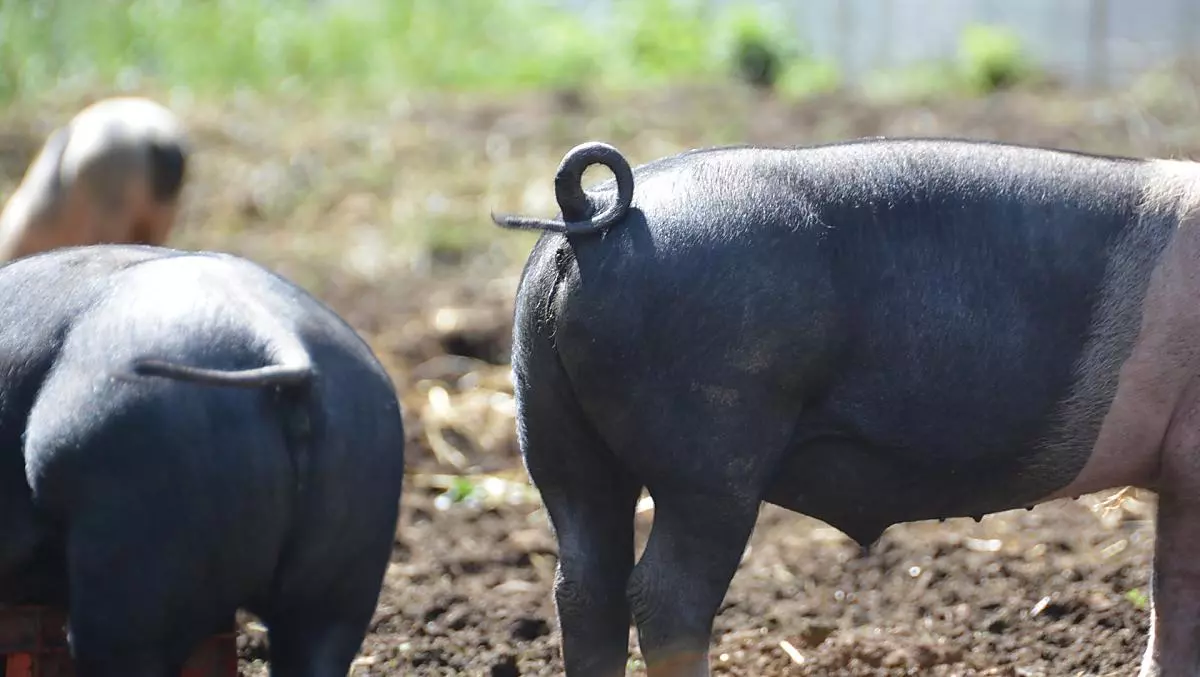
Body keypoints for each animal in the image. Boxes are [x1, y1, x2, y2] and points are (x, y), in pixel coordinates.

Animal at [491, 138, 1200, 677]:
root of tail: (591, 210)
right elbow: (1177, 586)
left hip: (550, 427)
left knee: (585, 584)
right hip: (711, 452)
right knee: (666, 595)